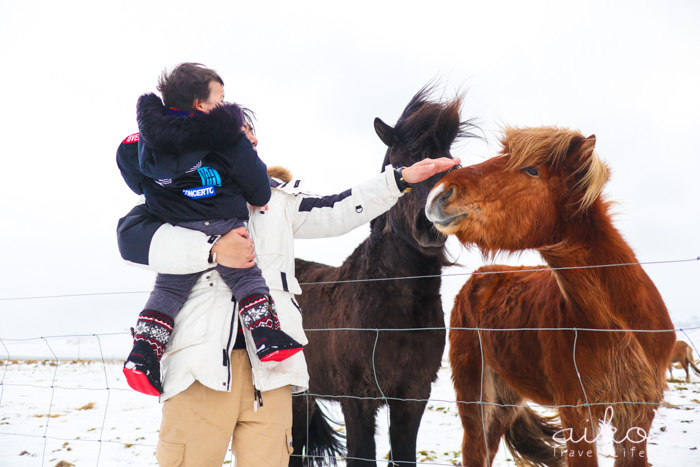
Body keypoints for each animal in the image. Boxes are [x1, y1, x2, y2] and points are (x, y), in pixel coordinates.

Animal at [290, 86, 476, 466]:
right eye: (400, 165)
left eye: (452, 163)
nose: (434, 217)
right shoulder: (358, 401)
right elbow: (362, 455)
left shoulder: (412, 398)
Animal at [424, 126, 676, 466]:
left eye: (531, 170)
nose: (439, 194)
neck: (618, 328)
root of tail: (476, 279)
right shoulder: (576, 414)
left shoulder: (636, 417)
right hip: (473, 394)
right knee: (474, 450)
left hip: (505, 402)